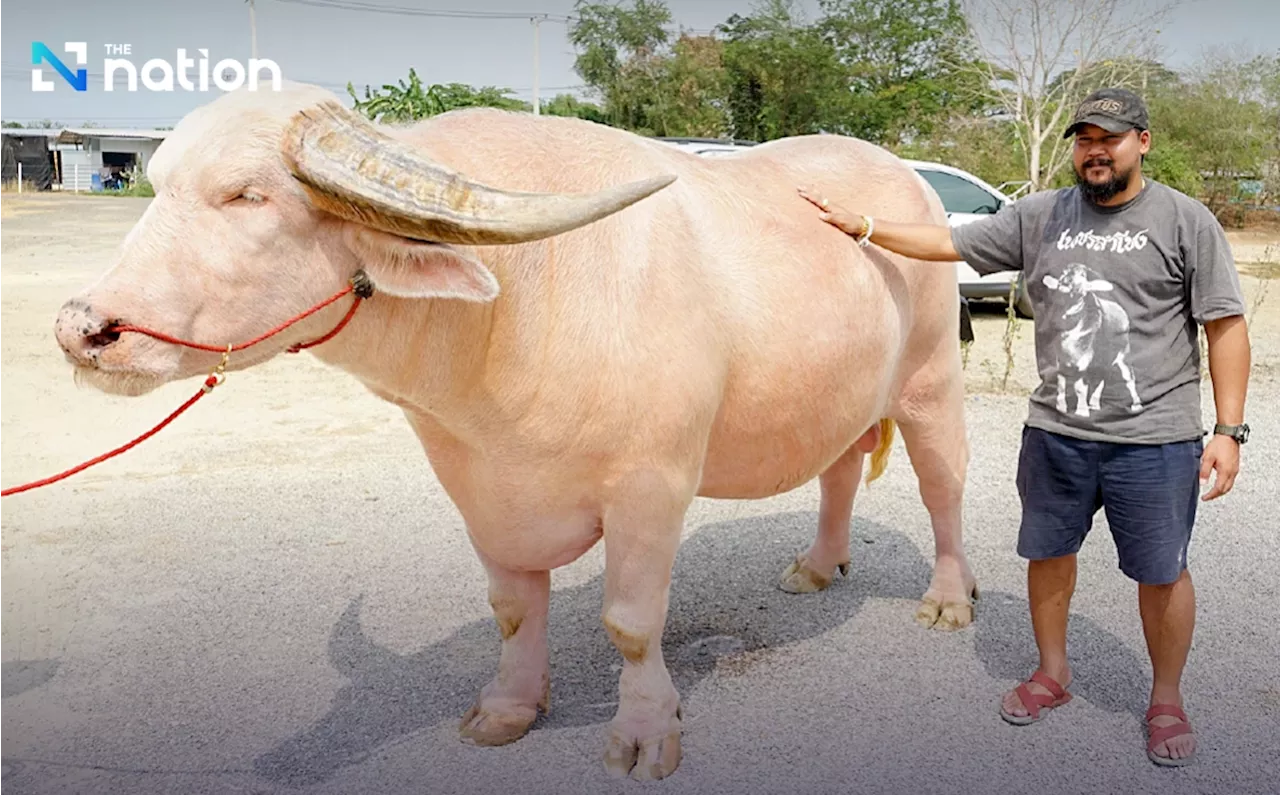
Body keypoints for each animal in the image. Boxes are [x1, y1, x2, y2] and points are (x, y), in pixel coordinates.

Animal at [45, 83, 972, 778]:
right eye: (161, 184)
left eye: (247, 194)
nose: (83, 328)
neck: (516, 314)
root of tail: (911, 184)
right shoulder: (479, 487)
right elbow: (512, 608)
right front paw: (507, 709)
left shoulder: (652, 486)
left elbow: (630, 621)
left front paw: (645, 733)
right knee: (840, 467)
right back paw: (816, 567)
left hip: (931, 382)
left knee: (943, 487)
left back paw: (948, 600)